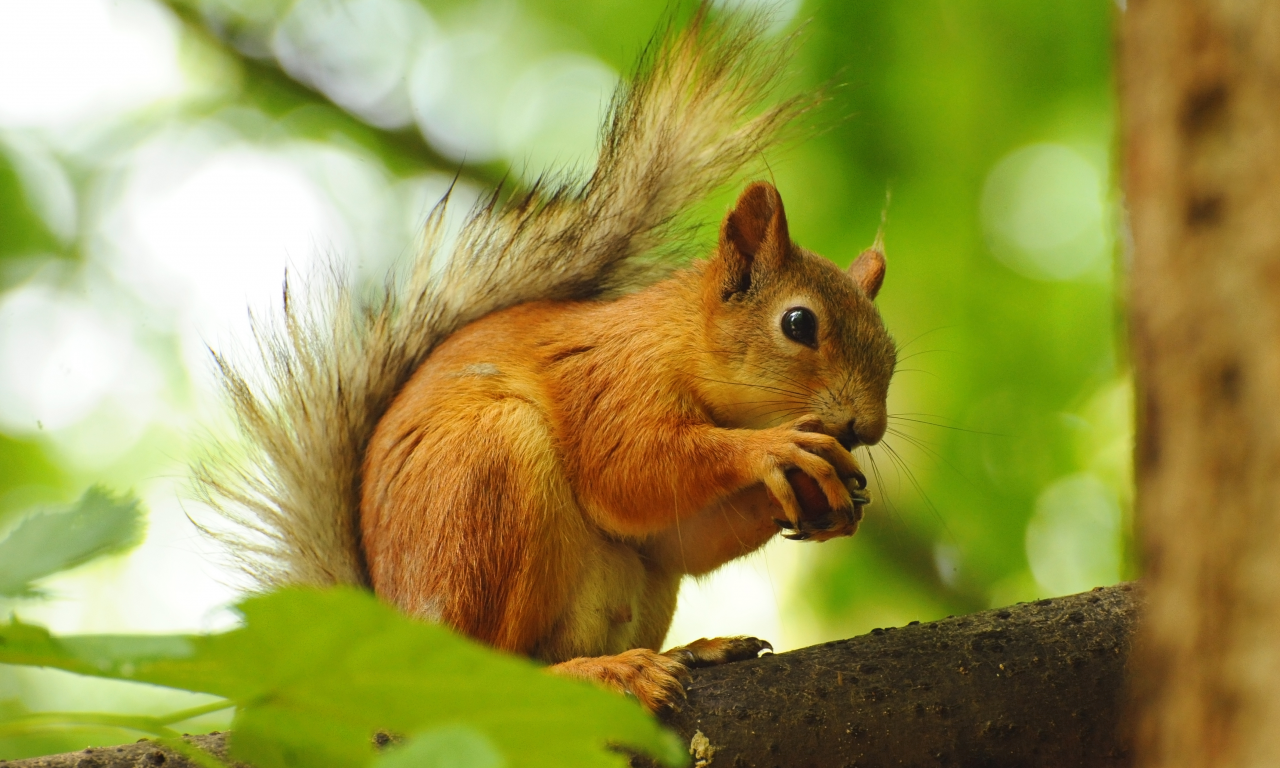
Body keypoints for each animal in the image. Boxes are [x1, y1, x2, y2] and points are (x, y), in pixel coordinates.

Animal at [194, 6, 896, 711]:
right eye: (799, 324)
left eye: (891, 352)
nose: (868, 428)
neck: (677, 340)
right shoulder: (609, 381)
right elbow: (628, 470)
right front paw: (774, 449)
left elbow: (679, 538)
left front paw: (828, 498)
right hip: (487, 483)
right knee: (490, 672)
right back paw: (607, 672)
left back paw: (690, 651)